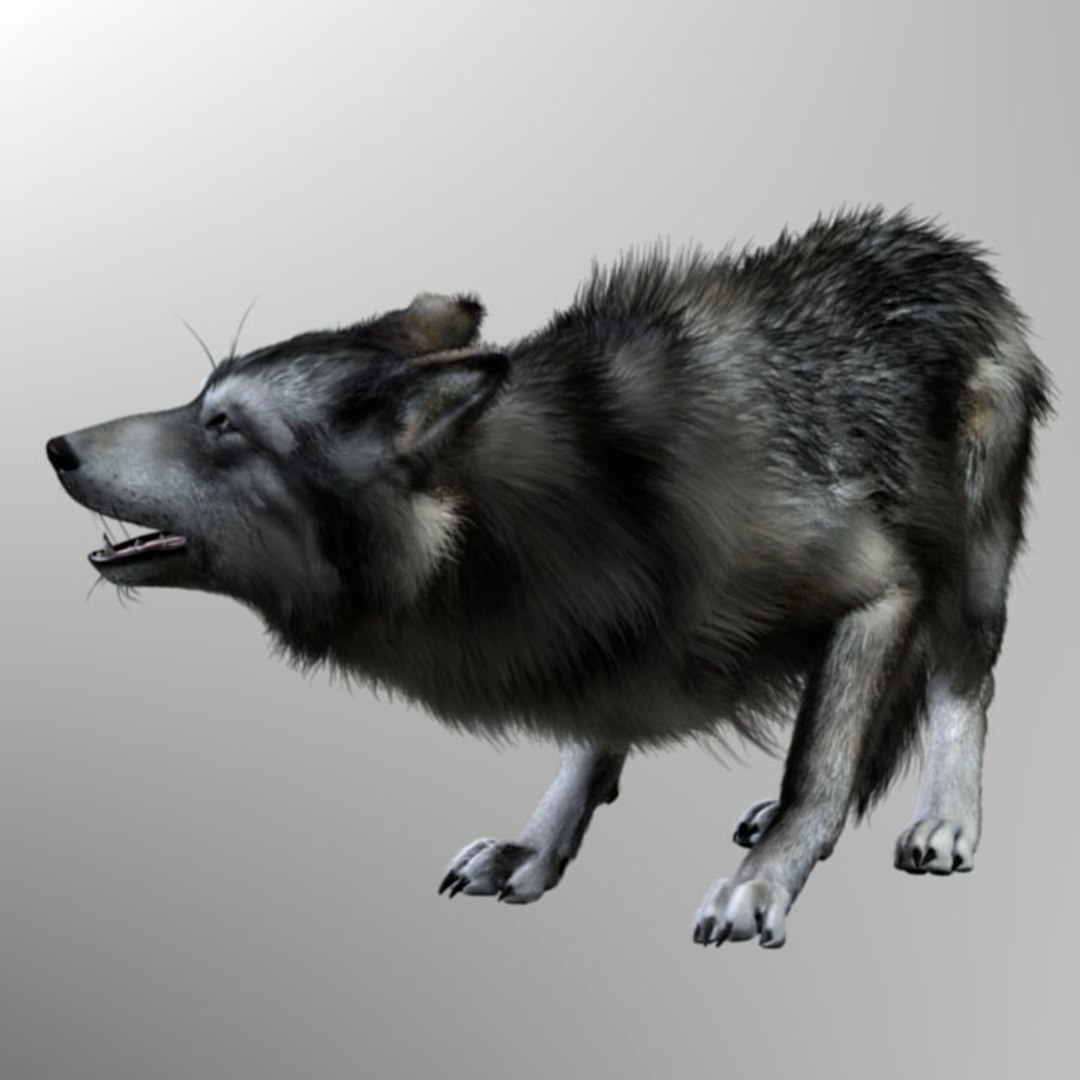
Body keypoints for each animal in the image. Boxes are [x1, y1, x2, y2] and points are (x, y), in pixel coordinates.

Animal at [47, 209, 1050, 948]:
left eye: (225, 427)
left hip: (967, 575)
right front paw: (536, 848)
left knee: (962, 685)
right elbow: (590, 747)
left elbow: (816, 770)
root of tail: (946, 248)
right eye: (199, 399)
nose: (55, 446)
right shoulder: (610, 640)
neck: (543, 512)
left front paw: (764, 883)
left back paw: (944, 821)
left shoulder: (877, 586)